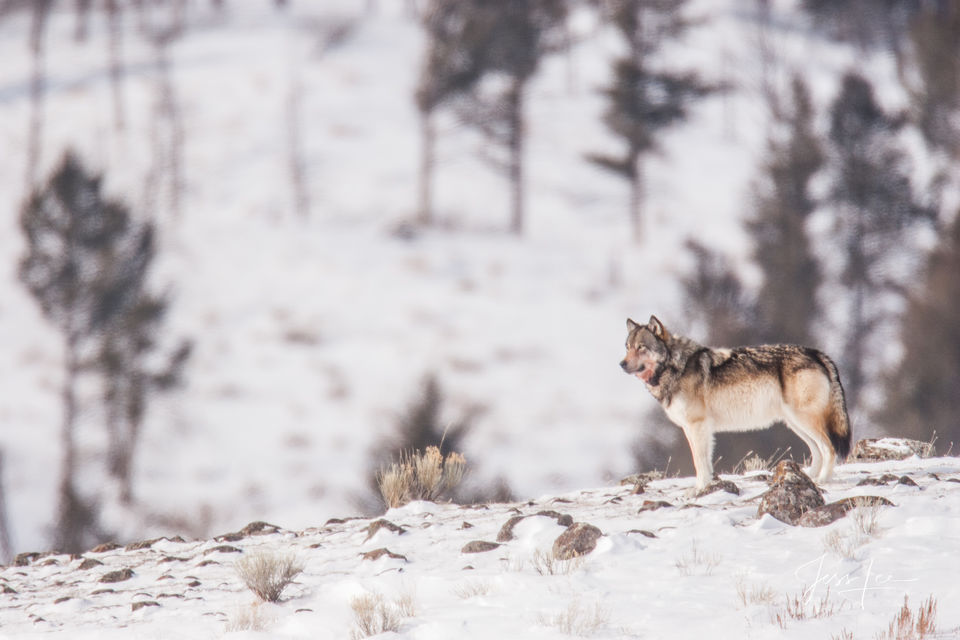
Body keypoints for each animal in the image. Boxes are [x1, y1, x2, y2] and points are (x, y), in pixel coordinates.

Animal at [620, 316, 851, 492]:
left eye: (641, 347)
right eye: (628, 347)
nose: (621, 364)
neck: (676, 367)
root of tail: (817, 353)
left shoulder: (698, 426)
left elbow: (699, 462)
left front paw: (700, 489)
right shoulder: (692, 428)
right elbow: (703, 461)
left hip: (803, 421)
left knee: (829, 448)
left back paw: (822, 480)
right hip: (794, 424)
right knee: (817, 450)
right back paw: (808, 477)